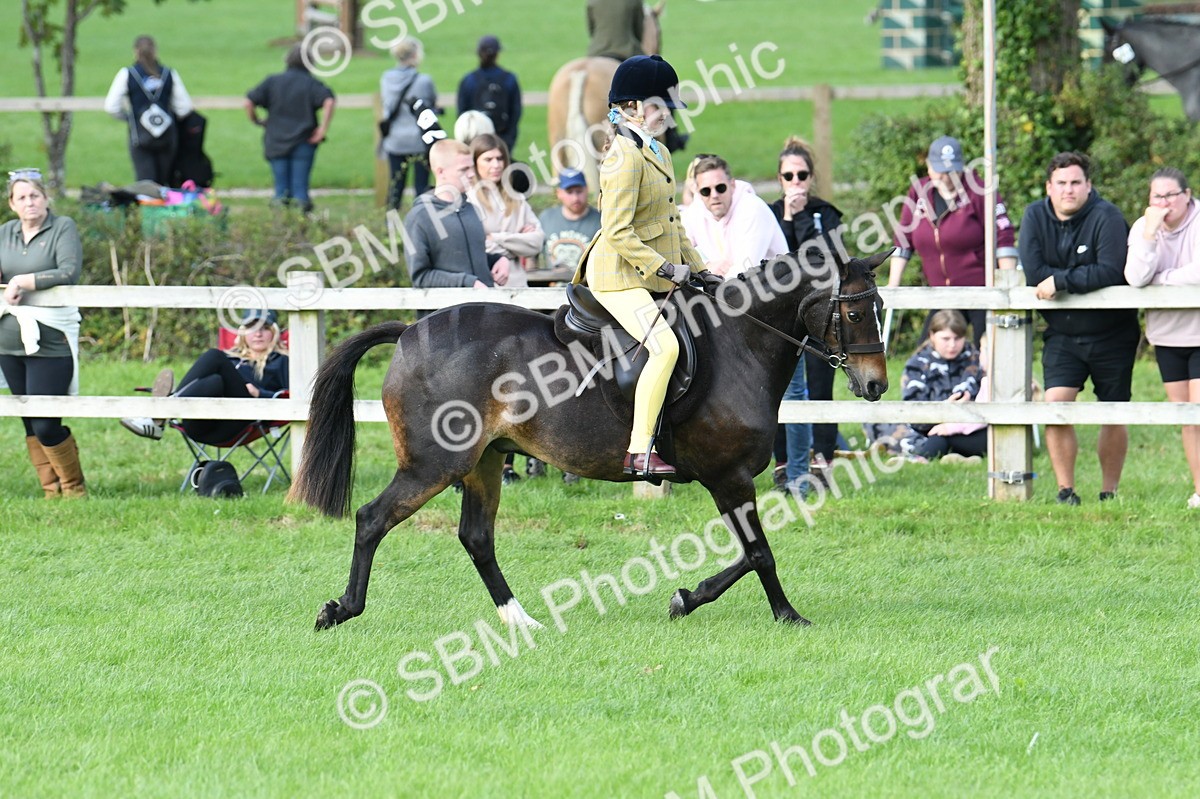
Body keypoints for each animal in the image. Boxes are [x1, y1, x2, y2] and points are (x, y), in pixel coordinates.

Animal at [289, 247, 890, 631]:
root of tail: (411, 331)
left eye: (881, 309)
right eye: (856, 312)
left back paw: (520, 620)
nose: (876, 386)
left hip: (485, 463)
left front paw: (686, 598)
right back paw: (339, 610)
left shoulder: (728, 480)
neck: (738, 345)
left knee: (477, 538)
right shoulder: (729, 477)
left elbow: (748, 553)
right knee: (372, 519)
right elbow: (759, 553)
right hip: (434, 466)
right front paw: (781, 614)